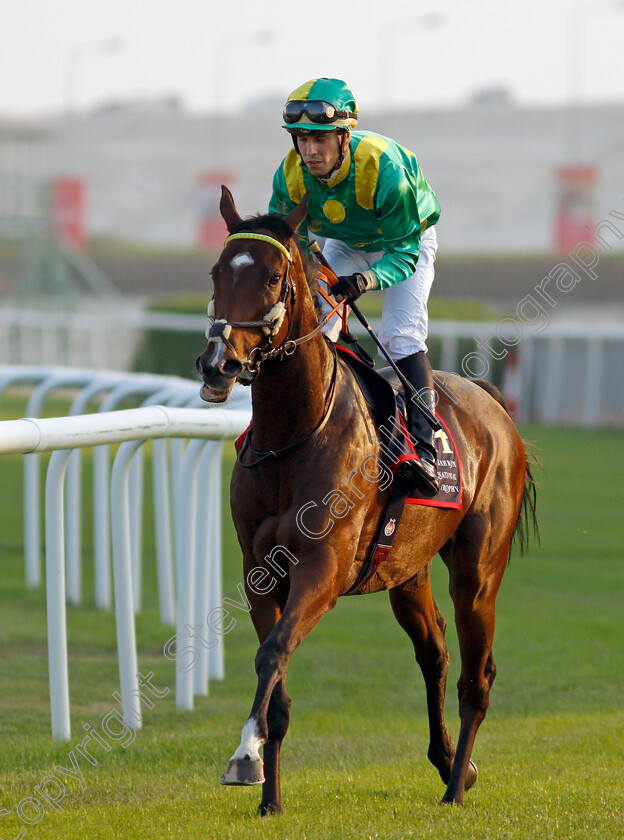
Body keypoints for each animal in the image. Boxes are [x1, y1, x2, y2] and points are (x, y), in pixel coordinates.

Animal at [196, 187, 536, 816]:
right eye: (216, 272)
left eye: (275, 276)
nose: (217, 364)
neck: (292, 435)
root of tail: (493, 403)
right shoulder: (260, 573)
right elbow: (276, 679)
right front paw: (269, 799)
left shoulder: (323, 569)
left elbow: (272, 652)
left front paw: (244, 757)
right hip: (407, 571)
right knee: (434, 652)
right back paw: (450, 761)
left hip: (478, 570)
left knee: (476, 677)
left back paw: (456, 786)